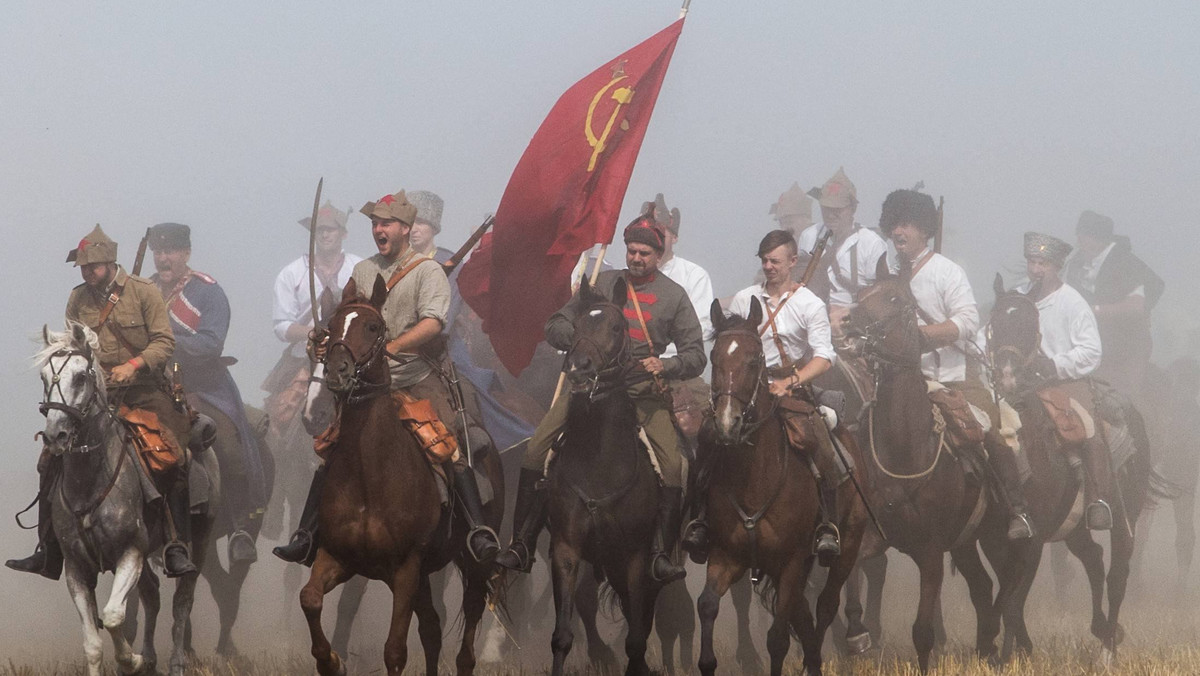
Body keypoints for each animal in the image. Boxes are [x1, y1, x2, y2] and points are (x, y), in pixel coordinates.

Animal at [36, 321, 220, 676]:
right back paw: (149, 657)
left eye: (80, 377)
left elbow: (112, 616)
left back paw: (175, 662)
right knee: (152, 594)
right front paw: (136, 660)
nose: (55, 435)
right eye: (43, 376)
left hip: (200, 539)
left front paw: (130, 659)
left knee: (182, 602)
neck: (91, 480)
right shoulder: (77, 568)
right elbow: (93, 643)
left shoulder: (130, 552)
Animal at [304, 276, 506, 676]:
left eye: (373, 327)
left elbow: (395, 650)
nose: (337, 372)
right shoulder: (337, 557)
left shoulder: (406, 569)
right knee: (431, 630)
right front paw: (331, 660)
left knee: (466, 644)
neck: (369, 474)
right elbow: (310, 599)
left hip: (472, 567)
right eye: (331, 325)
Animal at [549, 276, 672, 676]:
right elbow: (562, 634)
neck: (599, 462)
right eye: (575, 326)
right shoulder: (566, 550)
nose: (579, 369)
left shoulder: (635, 557)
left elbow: (636, 636)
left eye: (617, 327)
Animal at [700, 300, 868, 676]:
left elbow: (777, 638)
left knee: (824, 607)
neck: (755, 478)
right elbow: (707, 605)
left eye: (753, 360)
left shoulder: (790, 561)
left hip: (846, 547)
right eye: (714, 358)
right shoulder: (727, 556)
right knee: (804, 618)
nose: (727, 424)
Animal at [840, 262, 1027, 672]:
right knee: (982, 586)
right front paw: (857, 631)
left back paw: (997, 643)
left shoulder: (930, 553)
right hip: (965, 543)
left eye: (895, 299)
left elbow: (922, 632)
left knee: (1007, 582)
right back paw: (985, 646)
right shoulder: (874, 536)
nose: (846, 323)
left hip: (994, 535)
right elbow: (851, 570)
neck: (905, 448)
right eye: (861, 294)